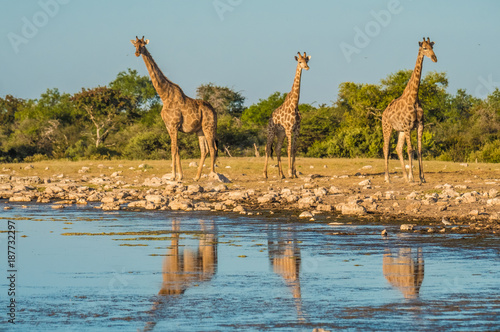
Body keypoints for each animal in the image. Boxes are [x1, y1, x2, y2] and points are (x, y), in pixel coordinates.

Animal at [130, 36, 216, 180]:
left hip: (208, 126)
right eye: (135, 45)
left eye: (143, 45)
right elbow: (176, 149)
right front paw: (180, 176)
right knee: (205, 150)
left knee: (213, 148)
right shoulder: (168, 126)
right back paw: (197, 177)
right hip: (200, 130)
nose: (137, 53)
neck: (164, 96)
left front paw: (173, 176)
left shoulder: (174, 125)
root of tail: (215, 111)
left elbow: (174, 149)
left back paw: (212, 175)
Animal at [264, 51, 310, 179]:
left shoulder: (297, 129)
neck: (294, 104)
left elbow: (294, 149)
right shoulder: (289, 129)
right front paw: (290, 172)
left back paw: (281, 174)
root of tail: (270, 118)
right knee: (267, 148)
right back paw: (265, 174)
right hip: (271, 131)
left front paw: (294, 173)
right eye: (300, 61)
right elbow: (289, 149)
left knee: (277, 148)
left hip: (281, 134)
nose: (307, 67)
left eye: (307, 60)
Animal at [382, 38, 438, 184]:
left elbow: (419, 149)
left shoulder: (420, 124)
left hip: (400, 131)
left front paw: (421, 177)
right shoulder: (408, 126)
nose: (434, 58)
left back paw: (404, 176)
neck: (414, 97)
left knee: (398, 148)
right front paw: (413, 177)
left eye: (432, 47)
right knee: (386, 148)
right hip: (387, 127)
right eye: (424, 48)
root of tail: (383, 113)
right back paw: (388, 178)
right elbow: (410, 149)